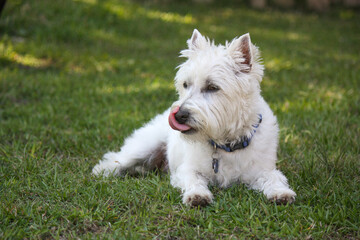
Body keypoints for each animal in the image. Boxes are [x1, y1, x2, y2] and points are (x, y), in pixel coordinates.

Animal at [92, 29, 296, 206]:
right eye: (185, 84)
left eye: (212, 87)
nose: (179, 115)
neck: (225, 144)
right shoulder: (186, 169)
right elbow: (194, 180)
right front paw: (197, 195)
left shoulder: (262, 169)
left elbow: (273, 178)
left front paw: (281, 193)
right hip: (144, 146)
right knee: (117, 158)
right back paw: (102, 171)